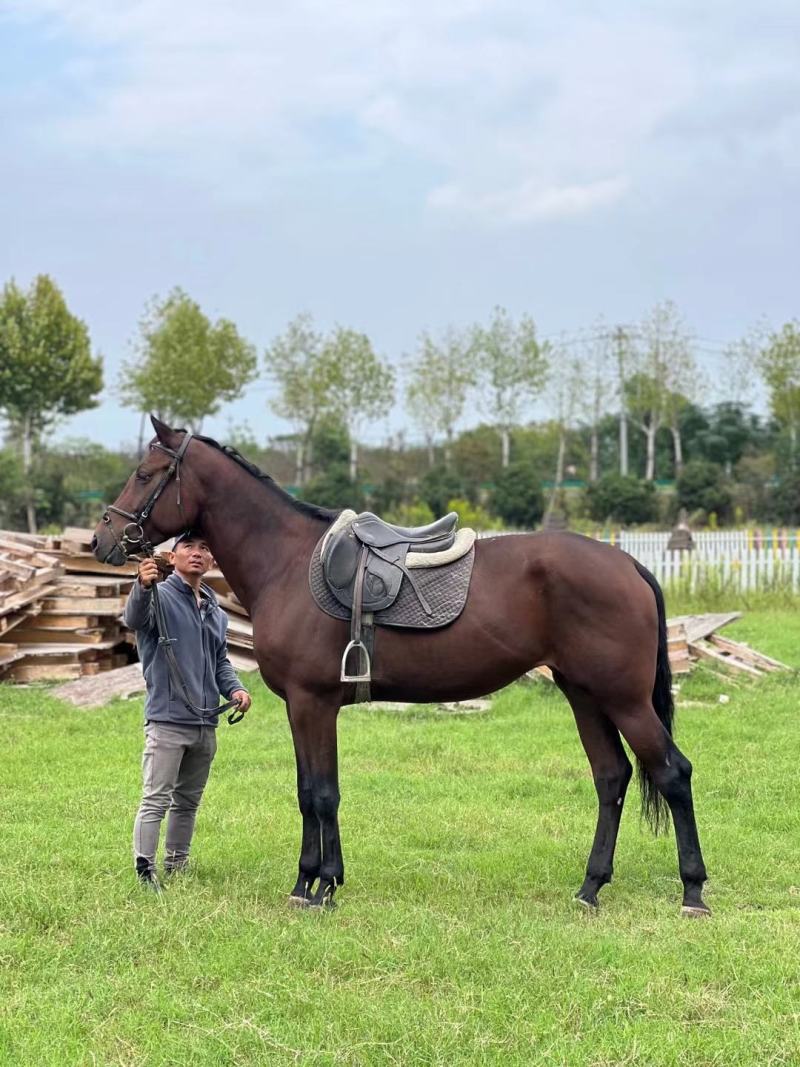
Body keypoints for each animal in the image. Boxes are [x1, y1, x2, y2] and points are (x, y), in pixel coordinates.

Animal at [92, 416, 709, 915]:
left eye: (146, 473)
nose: (103, 538)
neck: (286, 562)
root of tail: (628, 563)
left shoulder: (312, 703)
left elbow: (320, 793)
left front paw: (316, 886)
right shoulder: (307, 706)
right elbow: (312, 788)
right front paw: (318, 883)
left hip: (623, 699)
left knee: (673, 773)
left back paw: (693, 892)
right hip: (584, 694)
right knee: (612, 777)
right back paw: (590, 888)